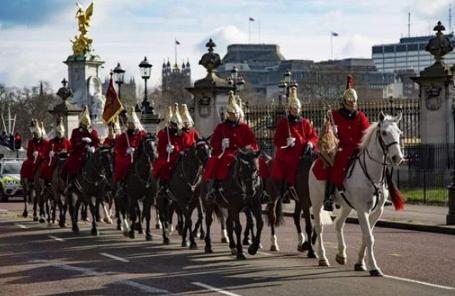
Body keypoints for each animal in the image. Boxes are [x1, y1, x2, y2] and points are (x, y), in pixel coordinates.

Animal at [310, 112, 406, 276]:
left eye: (399, 133)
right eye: (384, 133)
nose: (397, 158)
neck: (372, 174)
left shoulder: (377, 211)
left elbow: (366, 236)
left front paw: (360, 263)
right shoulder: (362, 209)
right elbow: (369, 237)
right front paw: (374, 267)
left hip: (346, 206)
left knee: (338, 224)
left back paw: (341, 254)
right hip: (317, 204)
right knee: (319, 227)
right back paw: (322, 257)